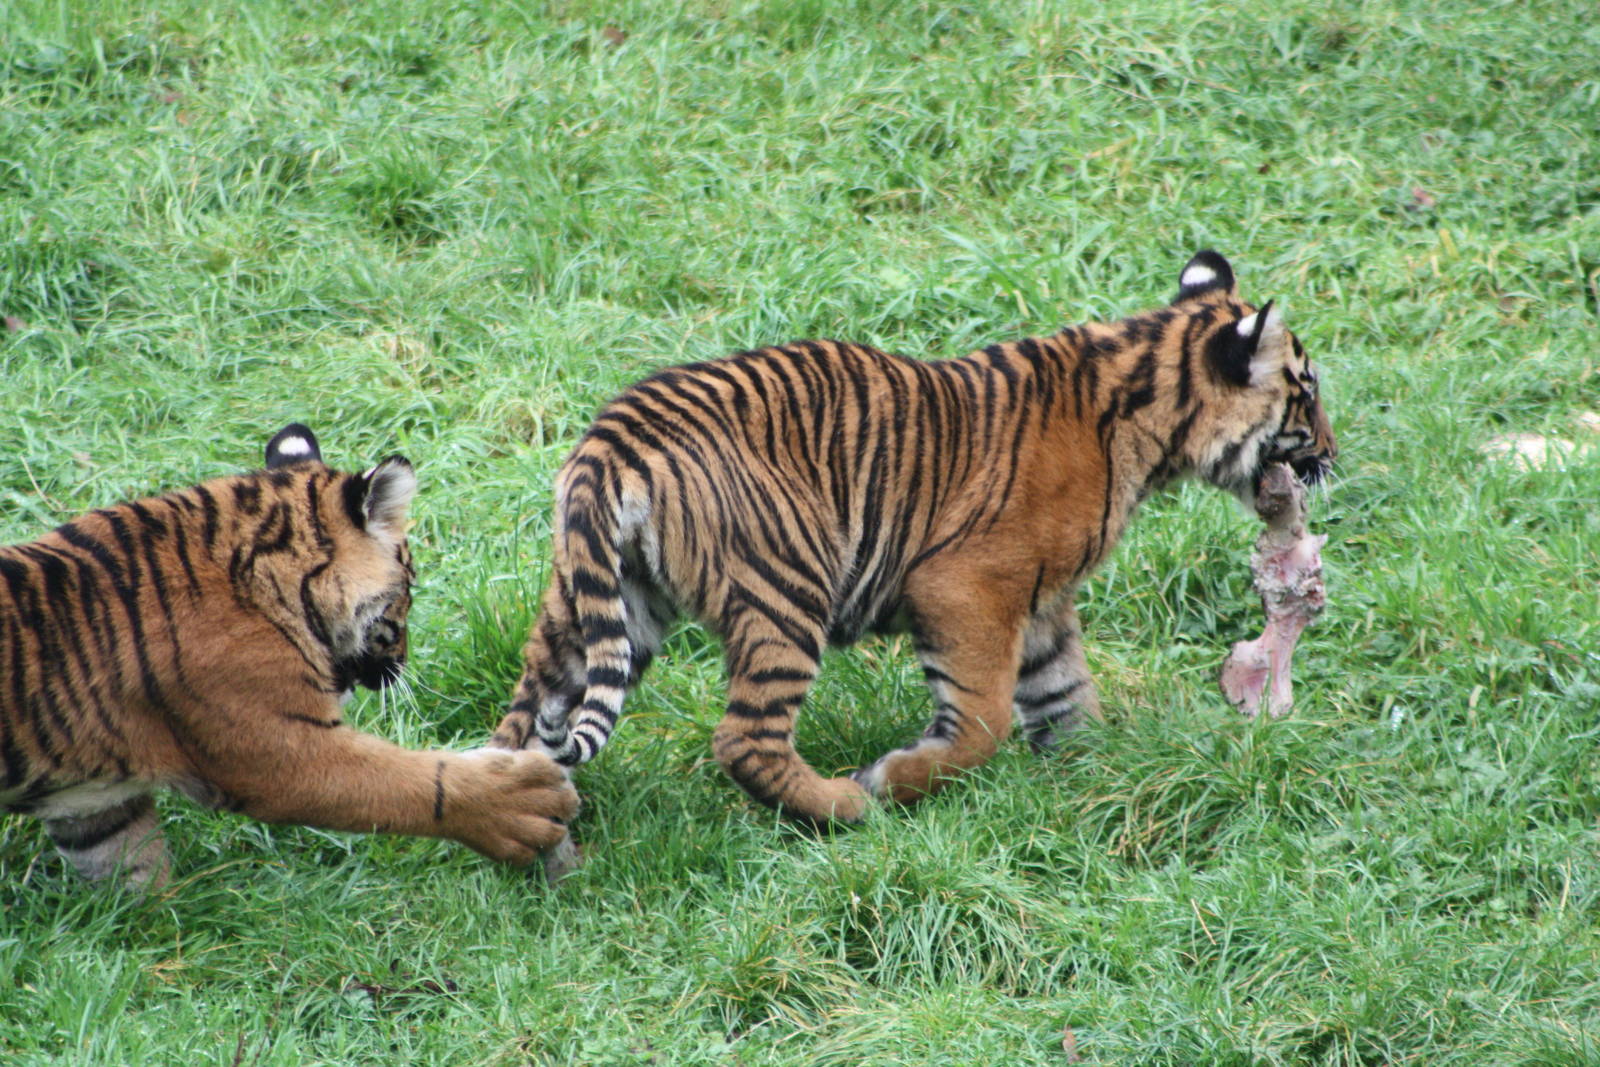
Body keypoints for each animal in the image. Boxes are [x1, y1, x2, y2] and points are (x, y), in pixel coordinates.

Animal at [0, 425, 576, 887]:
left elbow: (129, 864)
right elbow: (402, 783)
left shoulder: (94, 799)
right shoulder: (279, 746)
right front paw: (523, 804)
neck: (266, 578)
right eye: (410, 587)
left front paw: (161, 933)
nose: (400, 668)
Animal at [489, 250, 1336, 828]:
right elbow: (985, 719)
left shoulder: (1043, 601)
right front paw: (896, 778)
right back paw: (843, 806)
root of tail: (615, 437)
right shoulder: (971, 585)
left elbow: (1065, 693)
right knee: (744, 738)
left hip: (604, 604)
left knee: (529, 712)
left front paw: (1096, 777)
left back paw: (531, 820)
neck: (1148, 409)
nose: (1332, 453)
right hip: (786, 586)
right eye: (1309, 390)